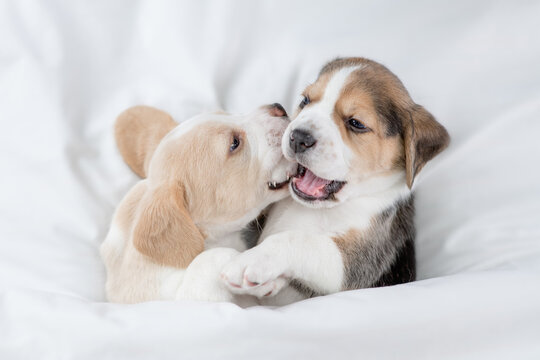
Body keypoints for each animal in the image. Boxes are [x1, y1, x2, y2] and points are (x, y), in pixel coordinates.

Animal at [221, 57, 450, 304]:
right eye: (305, 100)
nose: (298, 137)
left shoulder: (354, 264)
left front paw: (251, 262)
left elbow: (299, 240)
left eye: (356, 123)